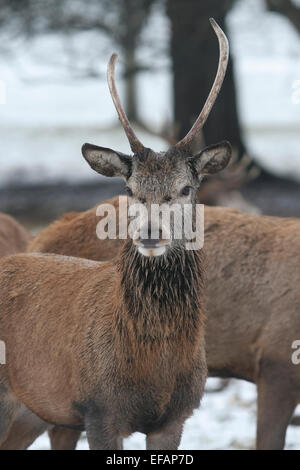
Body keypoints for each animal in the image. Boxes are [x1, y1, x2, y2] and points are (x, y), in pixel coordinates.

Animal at [0, 19, 232, 452]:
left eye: (186, 188)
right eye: (130, 188)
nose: (151, 234)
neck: (153, 366)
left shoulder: (175, 418)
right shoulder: (98, 410)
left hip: (34, 411)